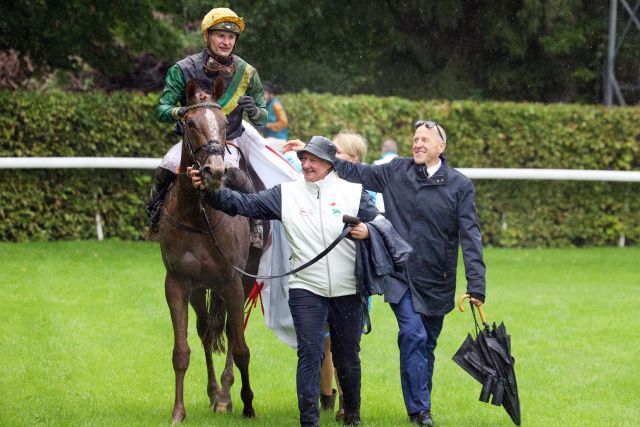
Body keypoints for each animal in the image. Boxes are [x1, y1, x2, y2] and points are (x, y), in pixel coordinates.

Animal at [158, 78, 262, 422]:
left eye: (223, 123)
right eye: (190, 123)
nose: (214, 170)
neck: (198, 216)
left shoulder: (232, 282)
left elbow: (240, 346)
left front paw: (245, 403)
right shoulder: (178, 283)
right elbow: (181, 351)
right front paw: (178, 412)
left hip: (245, 278)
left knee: (230, 332)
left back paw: (225, 397)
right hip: (200, 288)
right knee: (206, 330)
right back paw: (215, 391)